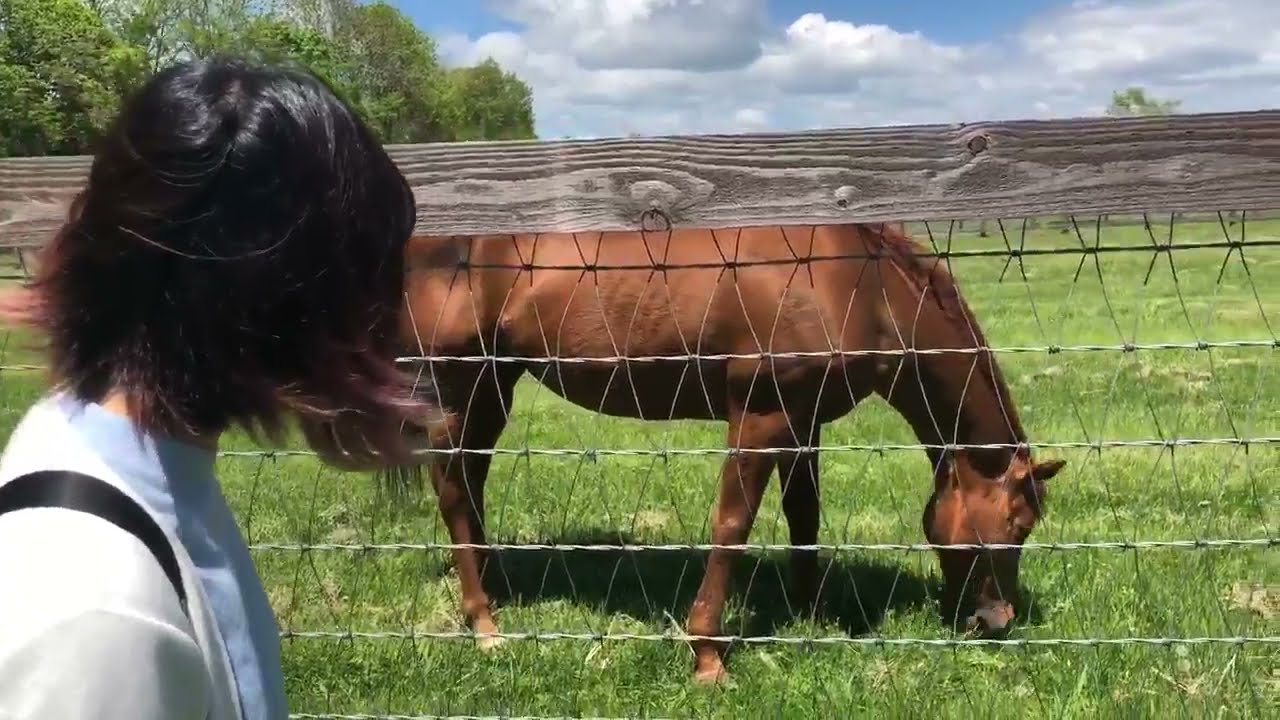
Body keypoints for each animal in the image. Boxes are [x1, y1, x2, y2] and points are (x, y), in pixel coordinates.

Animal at [393, 221, 1067, 683]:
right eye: (1017, 525)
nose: (998, 622)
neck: (856, 284)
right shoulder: (760, 420)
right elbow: (732, 525)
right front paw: (708, 657)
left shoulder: (803, 421)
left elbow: (804, 516)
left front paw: (812, 613)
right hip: (458, 389)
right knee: (454, 494)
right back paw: (484, 623)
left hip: (495, 388)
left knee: (472, 484)